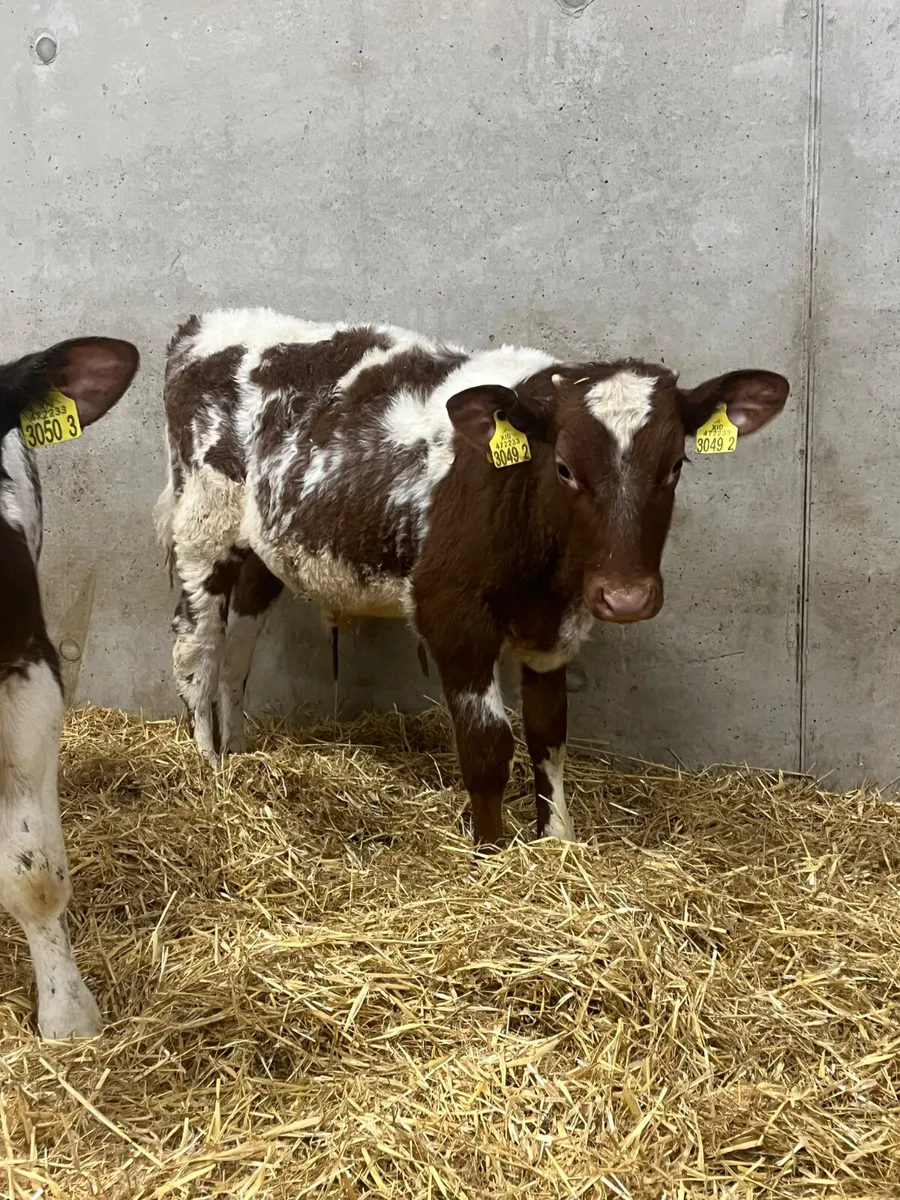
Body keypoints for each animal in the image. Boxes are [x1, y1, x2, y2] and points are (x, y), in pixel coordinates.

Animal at [154, 309, 788, 849]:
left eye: (676, 465)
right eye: (564, 467)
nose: (626, 598)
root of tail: (203, 325)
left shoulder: (552, 630)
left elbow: (548, 734)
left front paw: (558, 840)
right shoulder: (450, 614)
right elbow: (488, 746)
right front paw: (491, 851)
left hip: (262, 548)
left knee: (237, 654)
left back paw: (240, 755)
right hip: (203, 528)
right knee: (197, 649)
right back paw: (208, 768)